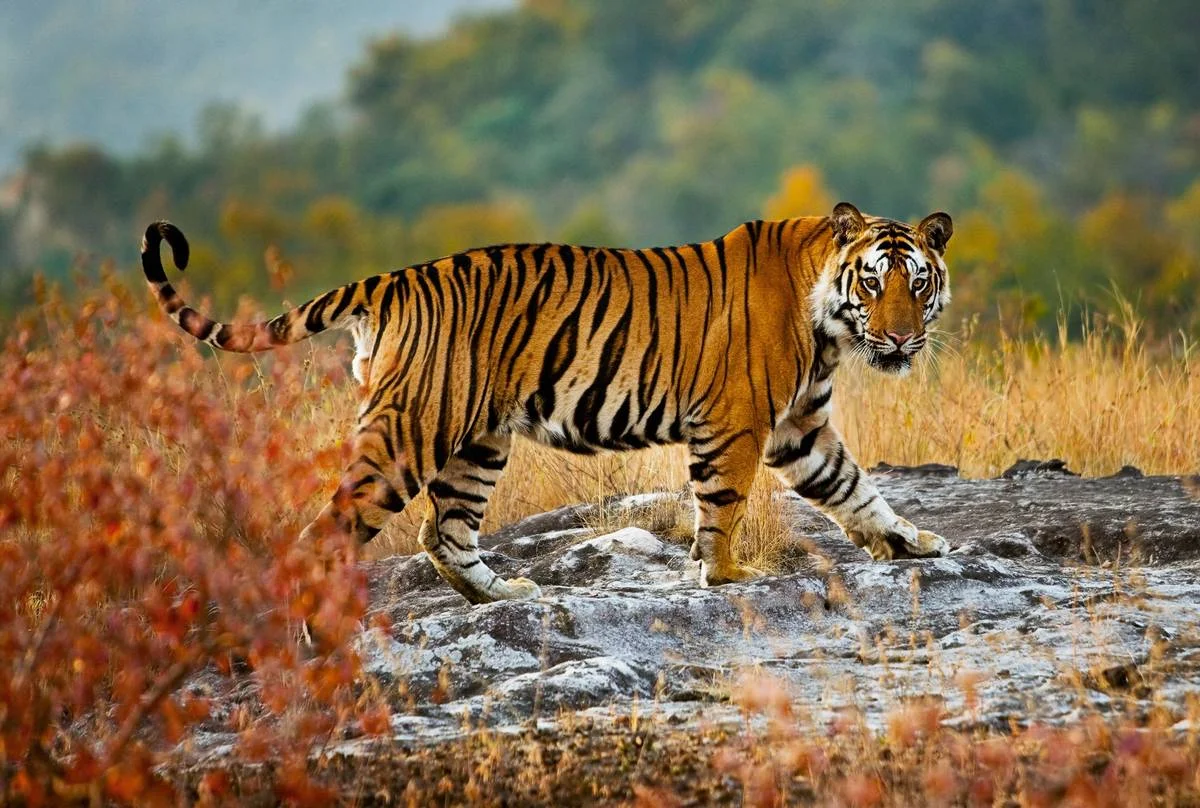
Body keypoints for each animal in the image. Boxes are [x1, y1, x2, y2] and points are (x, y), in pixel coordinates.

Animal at [141, 202, 954, 604]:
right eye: (874, 283)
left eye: (918, 284)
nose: (902, 339)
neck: (829, 326)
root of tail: (393, 279)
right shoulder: (737, 423)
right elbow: (723, 507)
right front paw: (725, 578)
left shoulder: (799, 427)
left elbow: (854, 488)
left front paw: (911, 542)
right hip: (410, 432)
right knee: (329, 532)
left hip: (476, 442)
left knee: (444, 532)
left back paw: (502, 594)